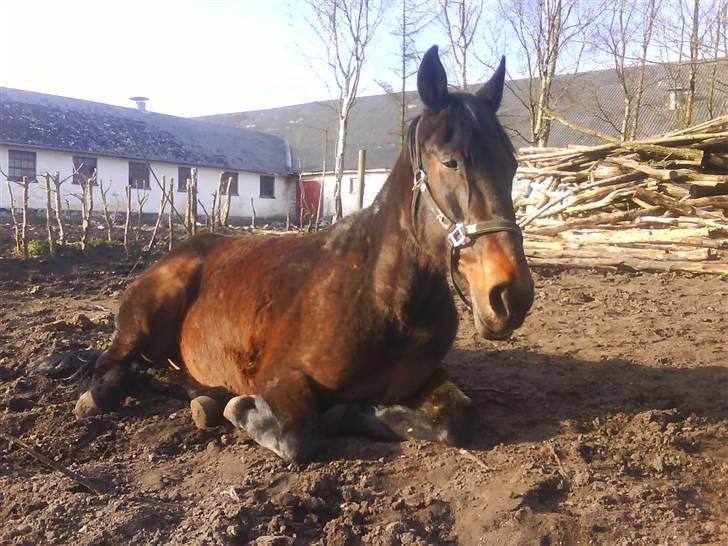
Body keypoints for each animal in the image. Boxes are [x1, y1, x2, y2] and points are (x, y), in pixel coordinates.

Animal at [62, 46, 532, 460]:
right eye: (451, 162)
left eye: (512, 164)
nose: (512, 296)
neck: (382, 297)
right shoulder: (283, 379)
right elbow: (298, 436)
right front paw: (247, 408)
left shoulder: (430, 376)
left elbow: (458, 417)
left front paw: (368, 411)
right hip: (145, 317)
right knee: (111, 363)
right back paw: (115, 394)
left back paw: (203, 397)